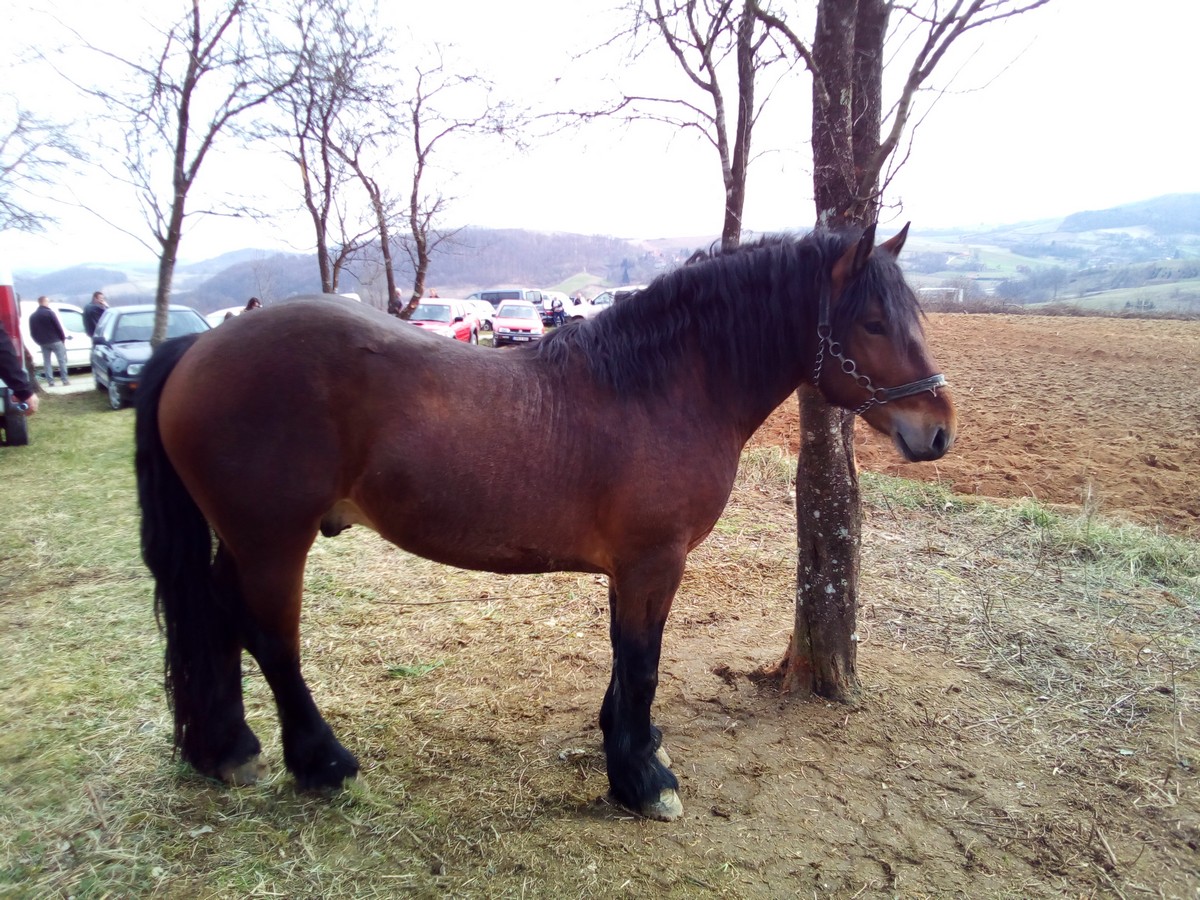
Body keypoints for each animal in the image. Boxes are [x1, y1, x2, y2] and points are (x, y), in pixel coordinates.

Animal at [135, 224, 956, 822]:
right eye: (873, 322)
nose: (939, 431)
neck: (663, 386)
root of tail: (200, 344)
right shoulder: (654, 561)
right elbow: (642, 659)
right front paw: (642, 780)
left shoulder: (630, 567)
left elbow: (625, 659)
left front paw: (631, 744)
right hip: (273, 541)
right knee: (270, 637)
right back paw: (323, 764)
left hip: (243, 540)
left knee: (214, 616)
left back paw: (227, 749)